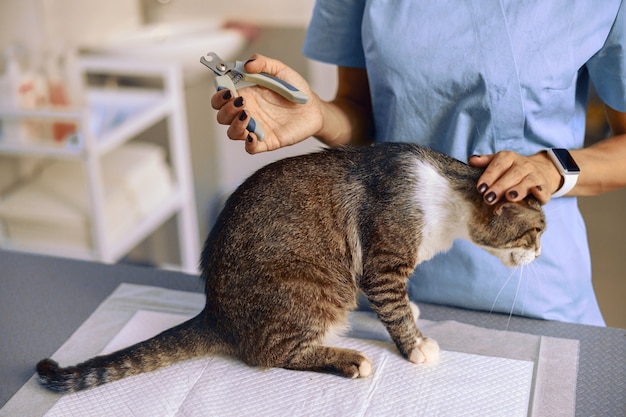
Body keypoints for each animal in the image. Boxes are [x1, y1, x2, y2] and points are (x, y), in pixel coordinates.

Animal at [34, 141, 544, 392]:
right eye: (537, 231)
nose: (540, 254)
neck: (446, 197)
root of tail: (215, 313)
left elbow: (402, 304)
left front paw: (416, 314)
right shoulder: (382, 265)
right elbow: (394, 310)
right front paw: (416, 345)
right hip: (317, 289)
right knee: (273, 355)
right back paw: (350, 360)